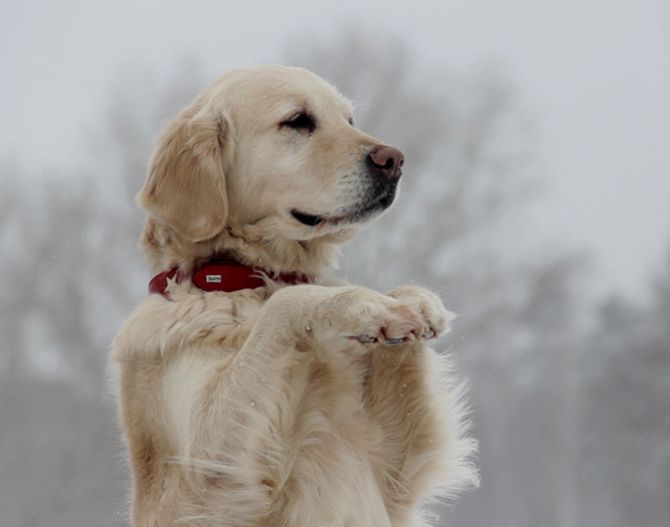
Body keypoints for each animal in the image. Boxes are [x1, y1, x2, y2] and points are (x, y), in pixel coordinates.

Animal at [111, 66, 478, 527]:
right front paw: (359, 305)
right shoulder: (203, 475)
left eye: (349, 120)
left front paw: (411, 303)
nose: (394, 160)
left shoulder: (391, 470)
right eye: (298, 121)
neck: (244, 279)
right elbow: (290, 301)